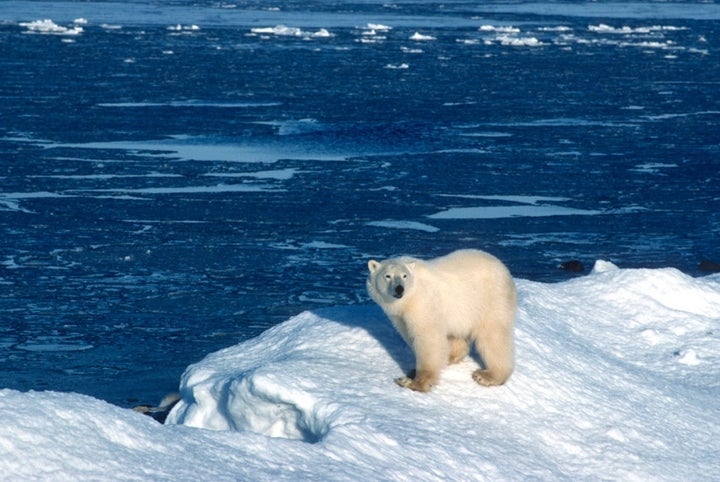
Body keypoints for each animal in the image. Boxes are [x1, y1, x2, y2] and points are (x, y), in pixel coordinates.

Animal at [368, 249, 516, 392]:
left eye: (404, 276)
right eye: (387, 276)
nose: (399, 289)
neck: (409, 298)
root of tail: (504, 269)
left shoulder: (422, 302)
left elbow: (428, 337)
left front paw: (415, 382)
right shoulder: (399, 315)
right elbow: (409, 334)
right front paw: (413, 372)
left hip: (491, 299)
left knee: (493, 336)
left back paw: (488, 376)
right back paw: (449, 357)